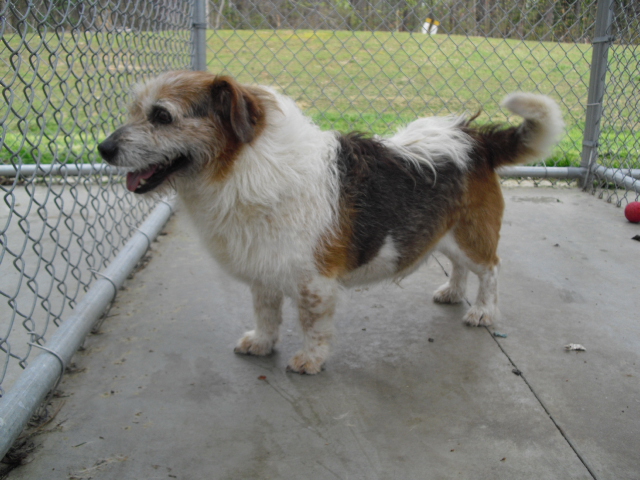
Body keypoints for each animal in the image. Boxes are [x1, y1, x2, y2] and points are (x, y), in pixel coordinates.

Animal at [97, 70, 564, 376]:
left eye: (161, 116)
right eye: (136, 110)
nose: (103, 148)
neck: (244, 165)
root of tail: (476, 138)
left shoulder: (314, 282)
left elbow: (313, 325)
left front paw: (310, 360)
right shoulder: (265, 274)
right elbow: (266, 314)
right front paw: (262, 343)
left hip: (470, 237)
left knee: (491, 270)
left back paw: (483, 311)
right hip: (446, 235)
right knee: (461, 267)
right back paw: (452, 291)